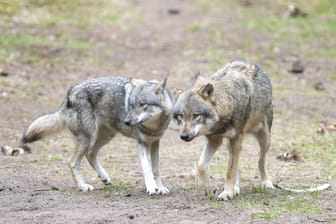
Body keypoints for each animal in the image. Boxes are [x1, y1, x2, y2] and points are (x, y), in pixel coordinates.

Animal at [21, 76, 173, 194]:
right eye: (130, 105)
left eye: (142, 104)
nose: (126, 121)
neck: (154, 126)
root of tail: (69, 94)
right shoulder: (141, 143)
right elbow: (147, 168)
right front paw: (152, 188)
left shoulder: (155, 143)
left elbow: (156, 169)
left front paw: (160, 188)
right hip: (89, 139)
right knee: (72, 162)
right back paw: (83, 186)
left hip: (105, 137)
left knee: (90, 155)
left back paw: (104, 177)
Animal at [175, 59, 274, 200]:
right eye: (180, 116)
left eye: (195, 115)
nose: (183, 136)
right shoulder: (215, 140)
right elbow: (200, 166)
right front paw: (211, 189)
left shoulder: (236, 139)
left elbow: (230, 170)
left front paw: (226, 193)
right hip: (231, 144)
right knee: (239, 164)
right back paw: (236, 188)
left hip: (265, 139)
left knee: (260, 158)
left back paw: (266, 182)